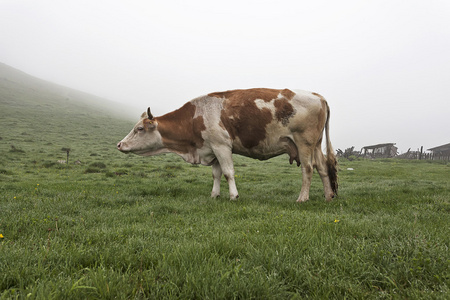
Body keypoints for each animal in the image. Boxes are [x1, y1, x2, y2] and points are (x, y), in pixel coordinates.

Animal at [117, 88, 338, 203]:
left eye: (139, 129)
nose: (120, 144)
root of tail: (318, 95)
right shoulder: (211, 148)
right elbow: (216, 174)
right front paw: (214, 195)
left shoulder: (221, 146)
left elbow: (228, 172)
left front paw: (233, 195)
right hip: (316, 145)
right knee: (322, 168)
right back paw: (328, 196)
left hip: (304, 143)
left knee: (308, 169)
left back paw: (303, 198)